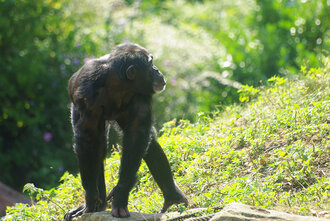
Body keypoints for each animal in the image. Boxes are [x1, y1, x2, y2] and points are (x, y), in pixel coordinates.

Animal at [64, 42, 188, 219]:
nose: (157, 69)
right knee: (97, 146)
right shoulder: (86, 94)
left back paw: (173, 198)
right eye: (150, 63)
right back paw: (98, 204)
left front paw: (120, 195)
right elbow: (88, 139)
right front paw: (90, 198)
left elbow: (136, 136)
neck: (117, 84)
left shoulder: (141, 96)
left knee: (146, 143)